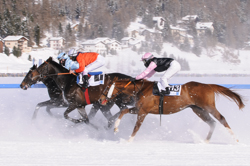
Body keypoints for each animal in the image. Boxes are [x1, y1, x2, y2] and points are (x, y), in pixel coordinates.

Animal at [99, 78, 244, 142]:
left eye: (106, 88)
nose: (100, 100)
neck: (141, 89)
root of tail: (208, 85)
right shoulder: (139, 109)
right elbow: (123, 111)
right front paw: (116, 128)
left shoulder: (143, 112)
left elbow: (136, 127)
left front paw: (129, 140)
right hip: (198, 110)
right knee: (212, 122)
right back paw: (205, 141)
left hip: (209, 106)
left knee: (221, 119)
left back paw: (236, 139)